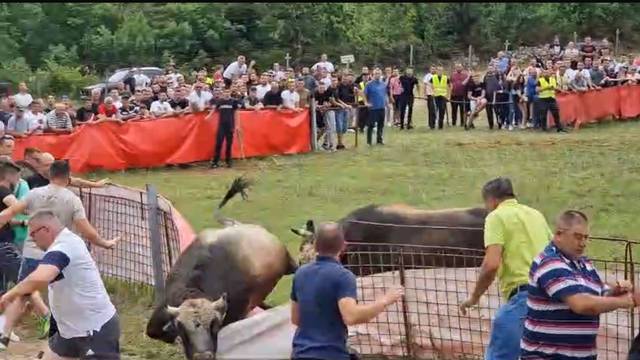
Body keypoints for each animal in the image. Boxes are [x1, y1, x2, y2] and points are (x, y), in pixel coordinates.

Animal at [146, 178, 298, 360]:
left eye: (213, 324)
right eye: (182, 328)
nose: (203, 355)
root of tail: (234, 224)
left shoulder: (238, 310)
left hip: (289, 264)